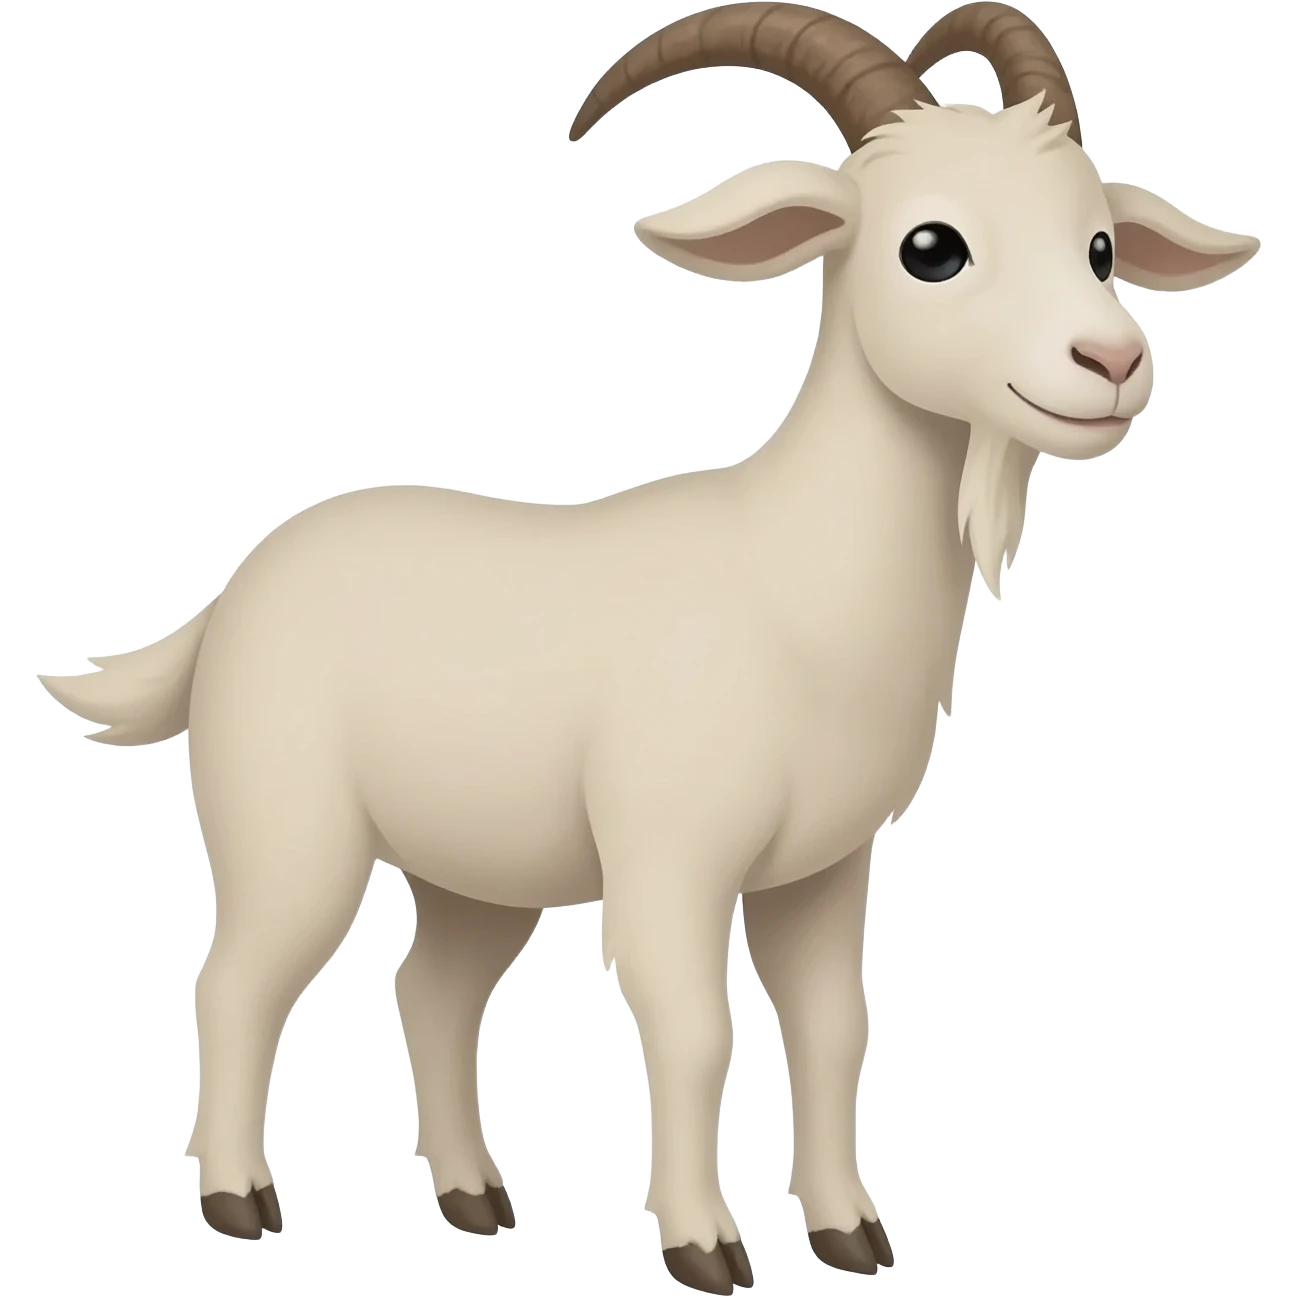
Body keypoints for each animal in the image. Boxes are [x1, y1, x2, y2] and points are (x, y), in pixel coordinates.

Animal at [34, 2, 1260, 1290]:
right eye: (930, 246)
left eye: (1099, 248)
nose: (1111, 363)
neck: (792, 586)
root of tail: (233, 592)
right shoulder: (669, 857)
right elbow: (690, 1029)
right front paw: (703, 1242)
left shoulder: (823, 868)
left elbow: (833, 1028)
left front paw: (848, 1231)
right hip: (286, 831)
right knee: (233, 981)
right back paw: (238, 1197)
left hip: (476, 864)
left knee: (430, 991)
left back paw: (473, 1196)